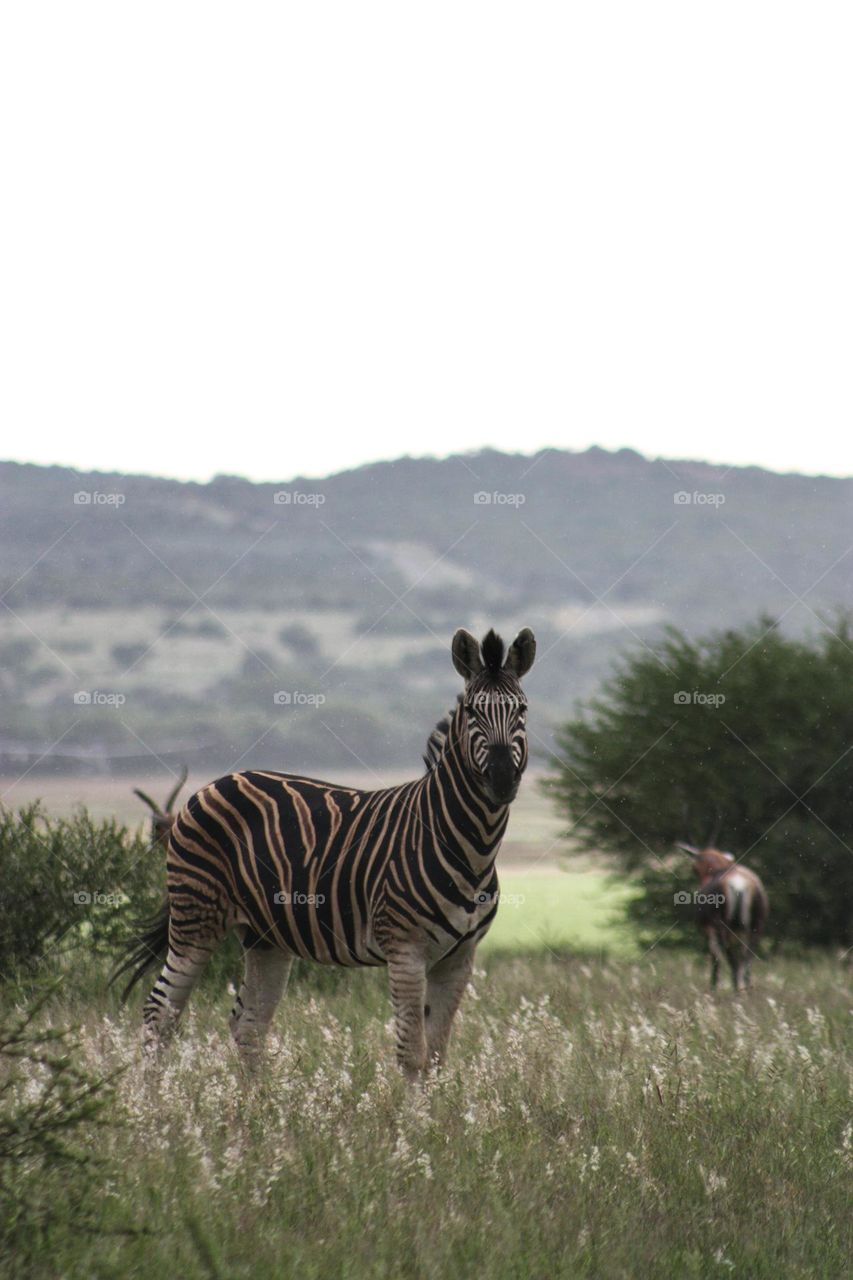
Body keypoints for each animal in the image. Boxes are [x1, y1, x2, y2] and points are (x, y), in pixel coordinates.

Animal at [114, 626, 535, 1078]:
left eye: (522, 710)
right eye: (473, 712)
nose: (502, 778)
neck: (469, 846)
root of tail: (213, 785)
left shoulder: (459, 958)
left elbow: (437, 1057)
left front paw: (444, 1101)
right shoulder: (405, 951)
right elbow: (412, 1055)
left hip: (265, 935)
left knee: (248, 1025)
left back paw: (259, 1101)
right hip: (196, 918)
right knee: (160, 1013)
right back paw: (153, 1097)